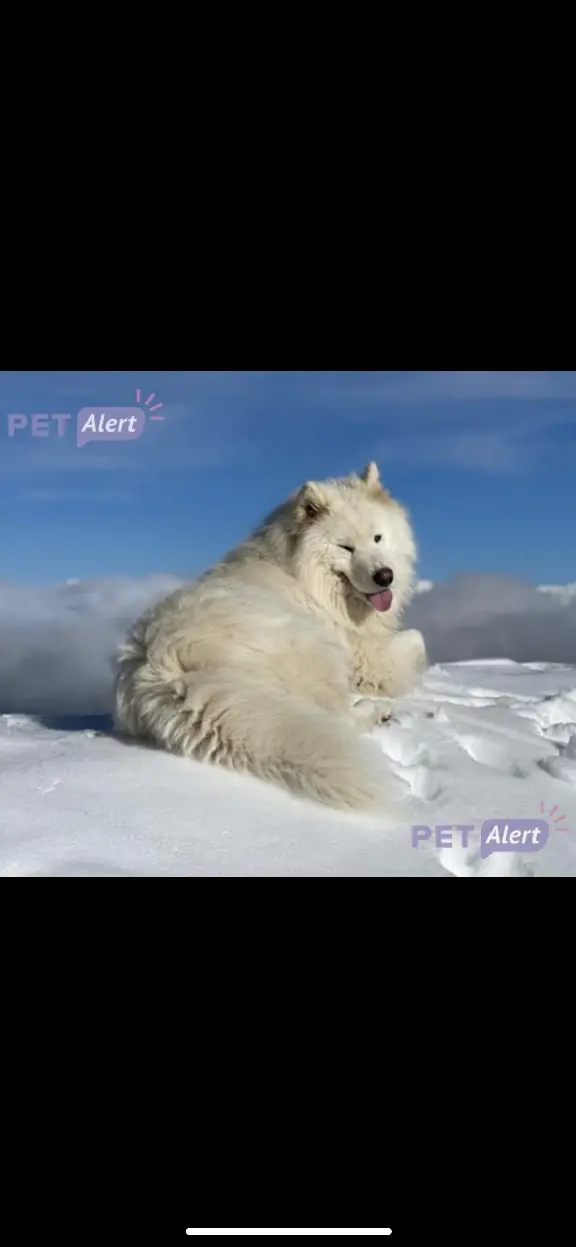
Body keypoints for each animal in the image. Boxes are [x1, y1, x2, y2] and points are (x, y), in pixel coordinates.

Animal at [114, 466, 426, 808]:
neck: (304, 577)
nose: (385, 576)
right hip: (315, 650)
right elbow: (416, 641)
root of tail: (162, 670)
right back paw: (375, 712)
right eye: (346, 547)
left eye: (377, 537)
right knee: (337, 718)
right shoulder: (365, 657)